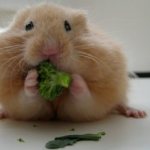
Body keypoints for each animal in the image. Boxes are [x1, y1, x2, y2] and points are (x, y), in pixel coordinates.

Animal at [0, 2, 146, 121]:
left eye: (67, 26)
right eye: (28, 25)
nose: (50, 50)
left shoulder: (86, 107)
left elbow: (83, 97)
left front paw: (75, 79)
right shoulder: (25, 107)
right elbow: (27, 97)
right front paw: (32, 77)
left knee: (120, 103)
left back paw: (137, 113)